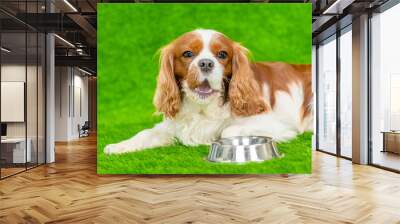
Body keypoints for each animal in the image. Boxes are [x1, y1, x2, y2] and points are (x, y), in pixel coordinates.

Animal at [104, 28, 312, 155]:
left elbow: (227, 130)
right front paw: (118, 146)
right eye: (188, 54)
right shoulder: (172, 125)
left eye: (222, 54)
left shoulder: (275, 125)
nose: (206, 63)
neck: (203, 107)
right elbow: (145, 133)